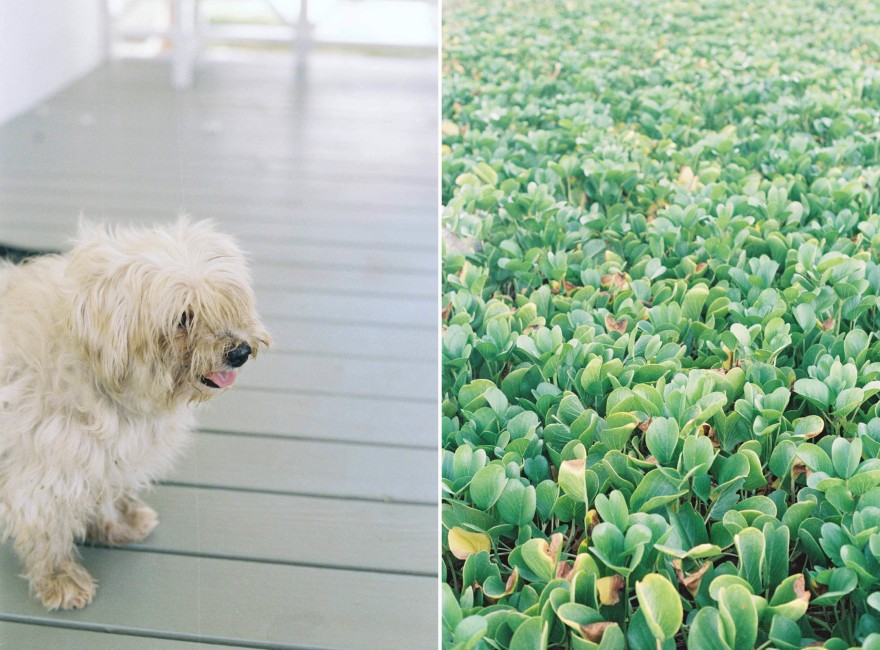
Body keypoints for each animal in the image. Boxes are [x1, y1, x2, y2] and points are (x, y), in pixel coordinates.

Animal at [0, 218, 270, 608]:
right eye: (183, 317)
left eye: (226, 302)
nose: (240, 352)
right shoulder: (44, 469)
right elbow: (46, 528)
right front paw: (57, 577)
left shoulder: (103, 456)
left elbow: (106, 491)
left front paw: (116, 523)